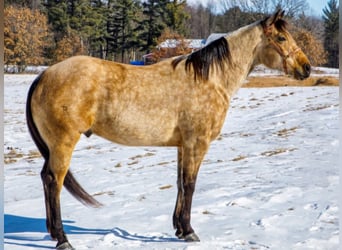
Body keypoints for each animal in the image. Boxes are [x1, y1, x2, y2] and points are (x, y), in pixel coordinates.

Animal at [26, 9, 310, 250]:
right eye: (281, 38)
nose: (306, 68)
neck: (210, 79)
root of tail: (43, 76)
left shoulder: (183, 145)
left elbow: (180, 184)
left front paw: (179, 230)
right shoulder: (197, 143)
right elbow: (191, 184)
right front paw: (189, 231)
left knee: (46, 179)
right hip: (63, 143)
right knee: (53, 181)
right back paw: (62, 239)